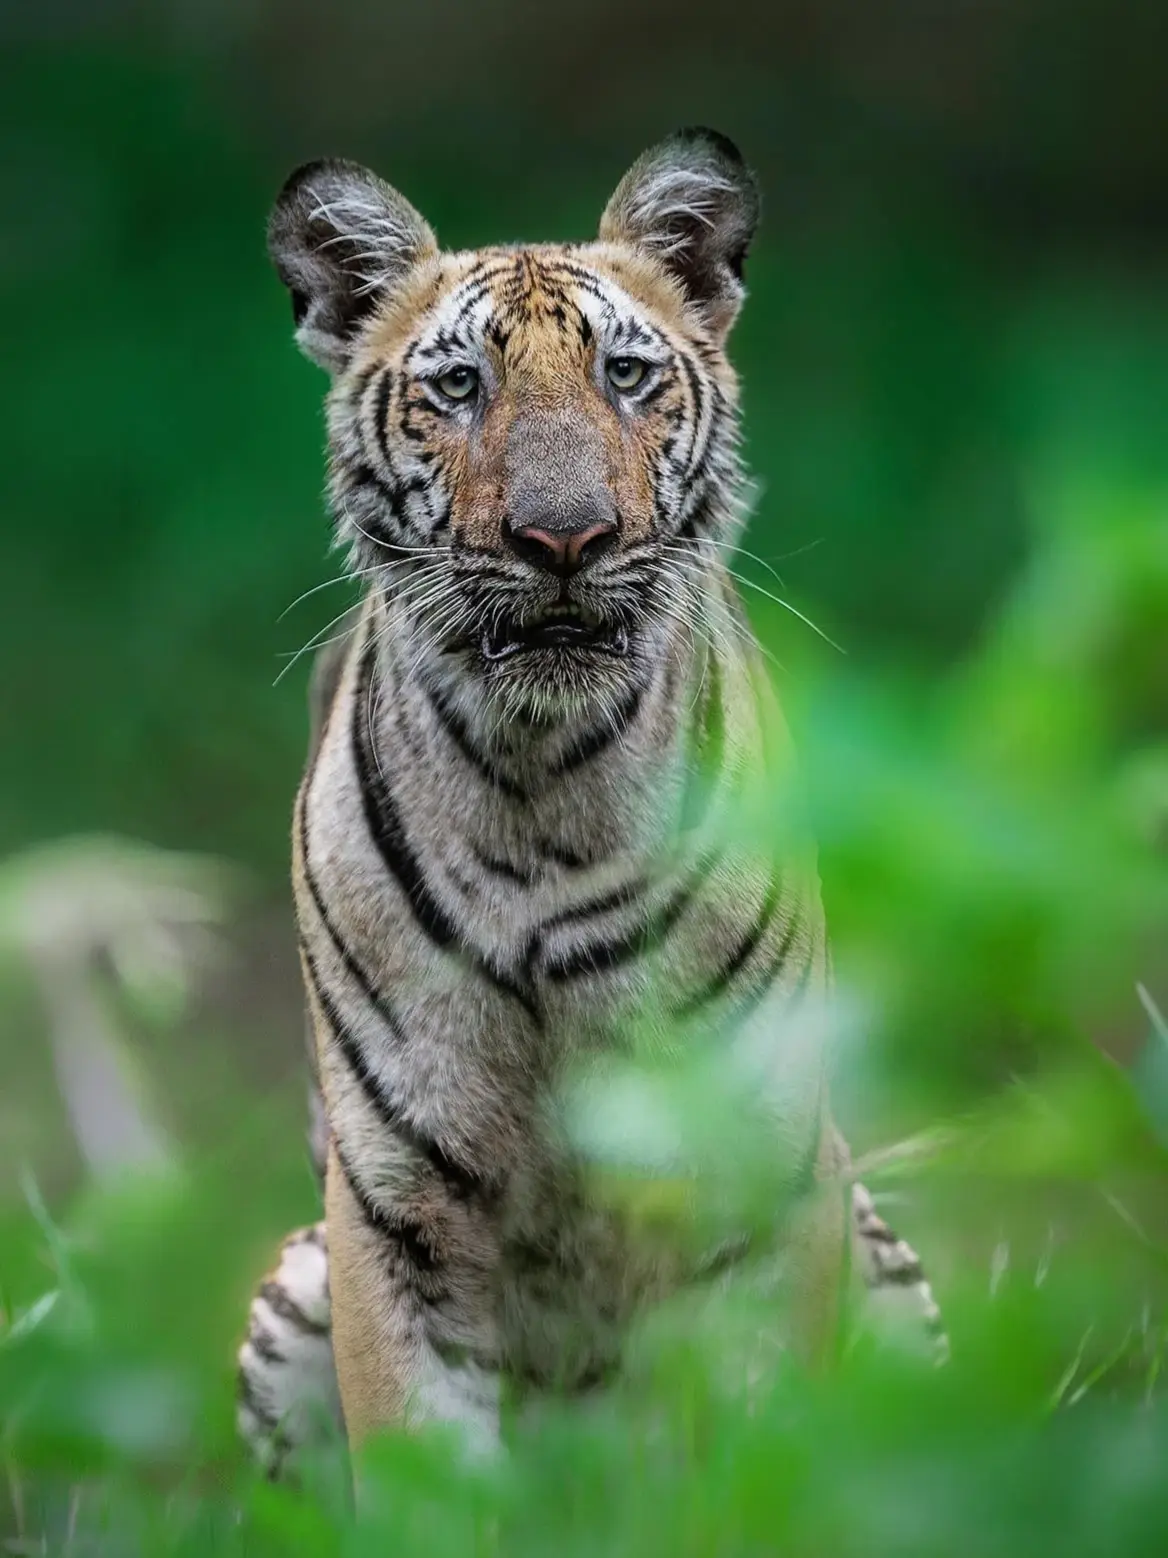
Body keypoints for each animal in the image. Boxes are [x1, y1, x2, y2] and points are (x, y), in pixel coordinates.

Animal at [236, 128, 943, 1478]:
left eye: (625, 375)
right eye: (459, 387)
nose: (563, 539)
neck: (538, 784)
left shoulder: (758, 1170)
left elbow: (757, 1459)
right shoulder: (395, 1209)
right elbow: (422, 1475)